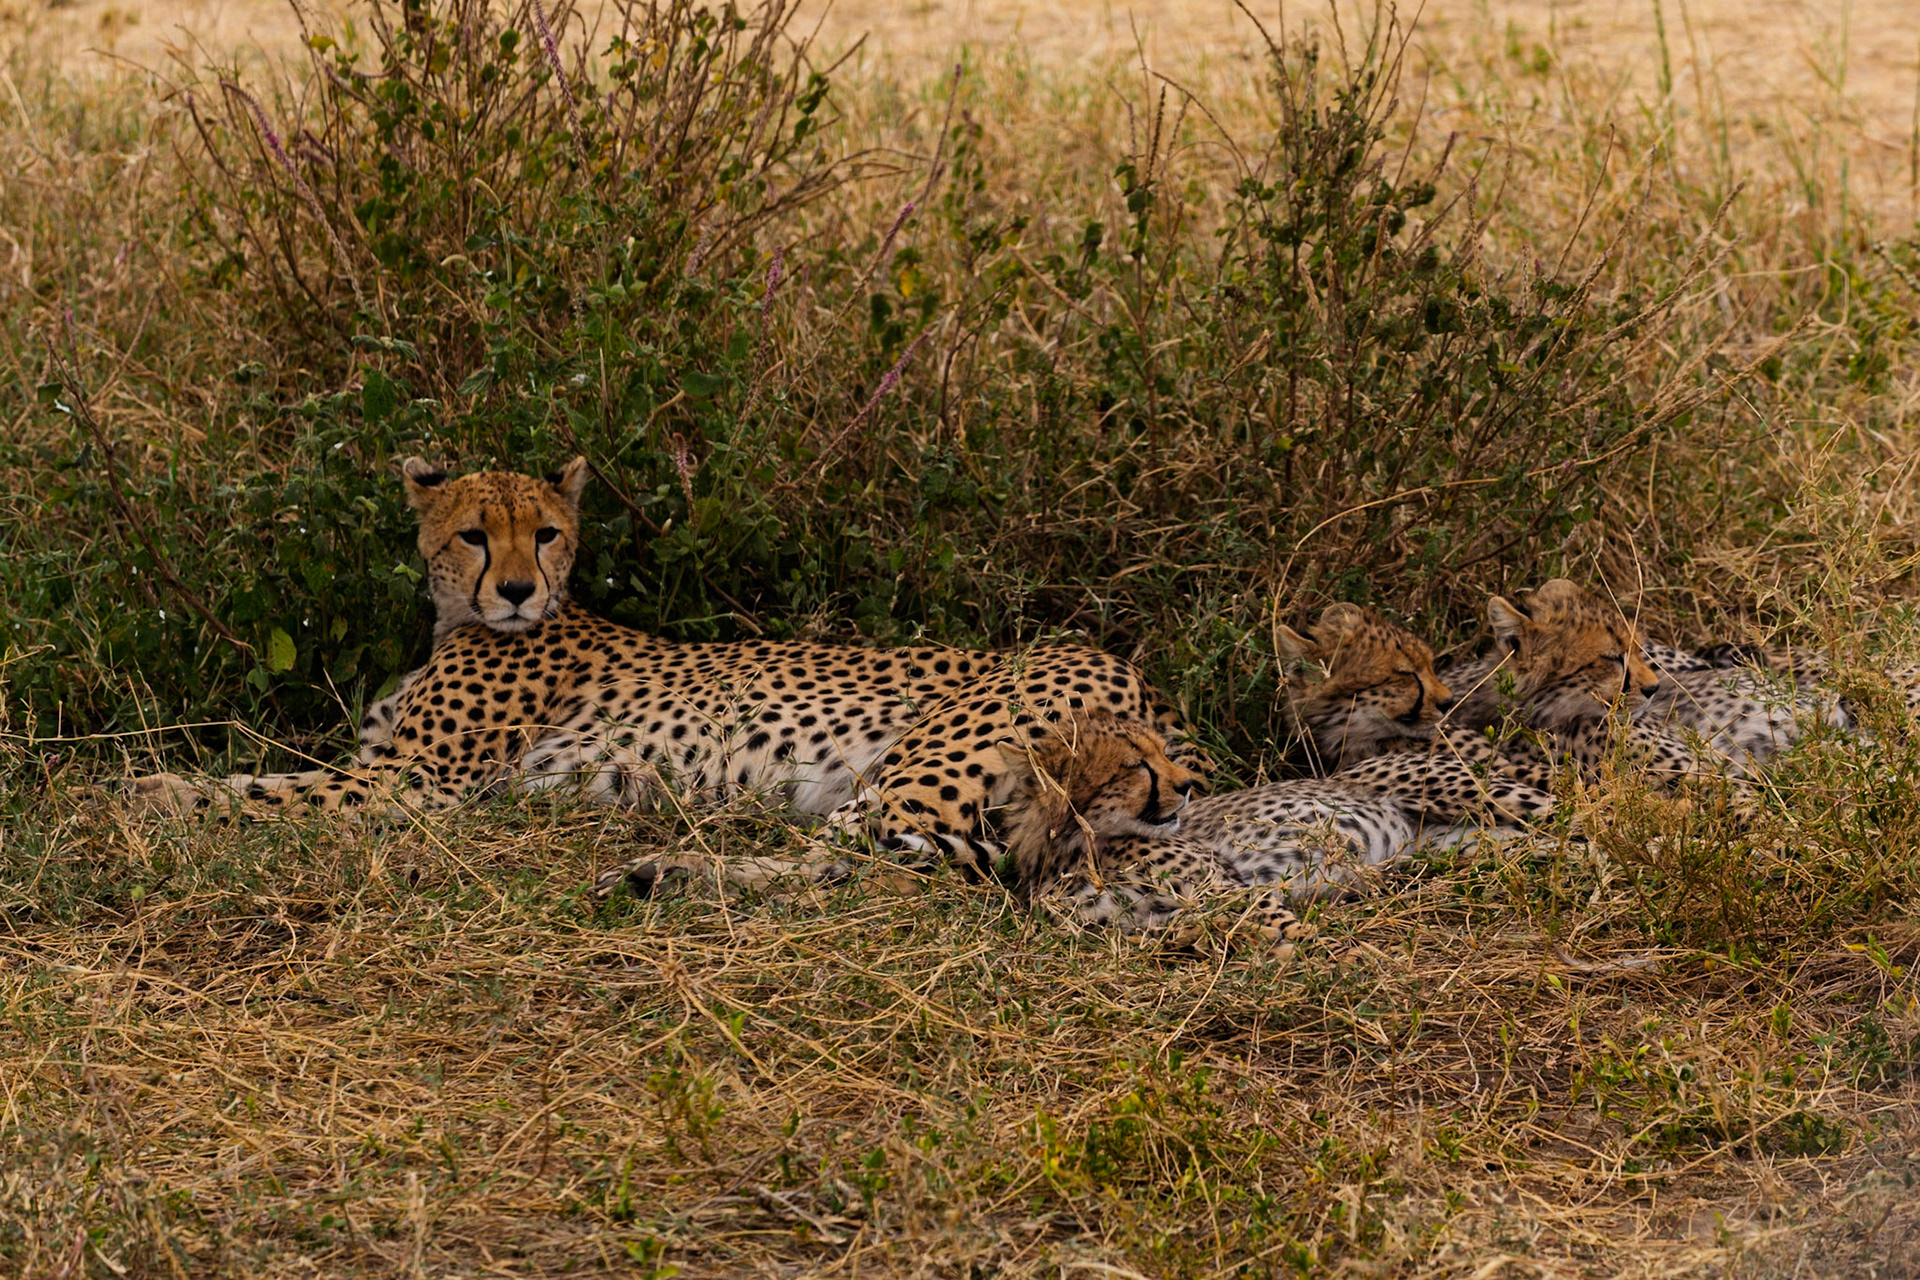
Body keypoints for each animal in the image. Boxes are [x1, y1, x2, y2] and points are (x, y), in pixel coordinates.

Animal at [130, 456, 1199, 876]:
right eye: (475, 533)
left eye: (546, 533)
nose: (514, 591)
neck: (457, 618)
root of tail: (1134, 675)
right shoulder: (386, 769)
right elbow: (270, 780)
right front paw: (153, 787)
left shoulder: (412, 786)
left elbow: (267, 795)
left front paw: (143, 799)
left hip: (921, 763)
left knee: (863, 866)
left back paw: (664, 873)